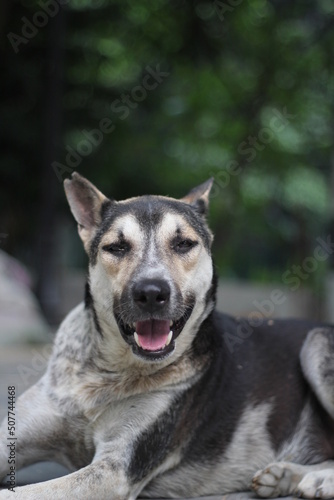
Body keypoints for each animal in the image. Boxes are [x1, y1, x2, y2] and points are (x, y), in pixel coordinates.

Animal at [0, 173, 334, 500]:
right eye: (116, 247)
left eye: (183, 243)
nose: (150, 292)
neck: (106, 372)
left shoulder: (115, 470)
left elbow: (23, 493)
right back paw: (283, 476)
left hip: (317, 343)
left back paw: (318, 481)